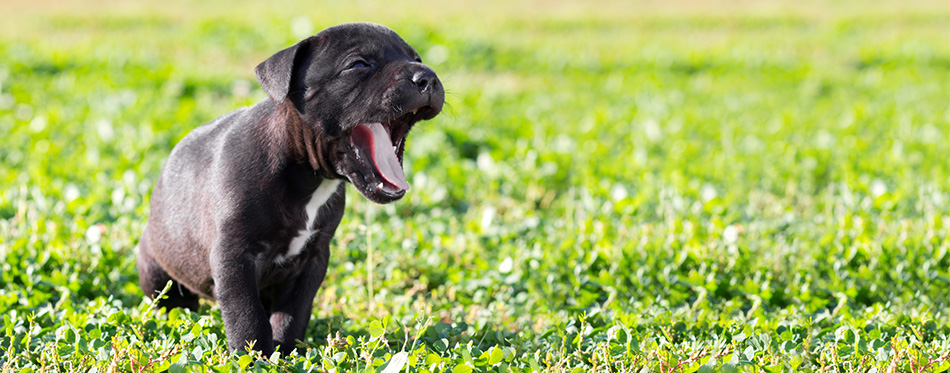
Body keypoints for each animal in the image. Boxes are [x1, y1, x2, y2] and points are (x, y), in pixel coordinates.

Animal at [138, 21, 446, 354]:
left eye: (417, 58)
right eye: (358, 65)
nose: (426, 77)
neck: (307, 176)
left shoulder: (313, 261)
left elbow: (292, 313)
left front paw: (285, 353)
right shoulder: (234, 257)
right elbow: (246, 315)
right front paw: (253, 355)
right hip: (155, 269)